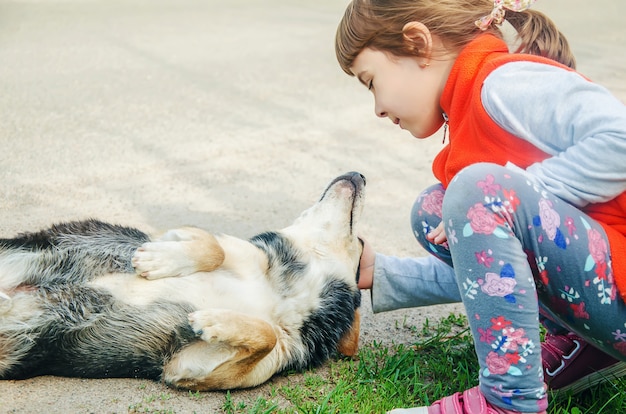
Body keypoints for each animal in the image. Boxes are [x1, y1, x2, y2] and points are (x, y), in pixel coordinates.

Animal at [0, 171, 366, 388]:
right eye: (362, 241)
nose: (359, 173)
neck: (285, 291)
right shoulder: (176, 235)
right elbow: (212, 247)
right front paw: (158, 261)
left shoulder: (187, 368)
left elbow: (268, 335)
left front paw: (215, 321)